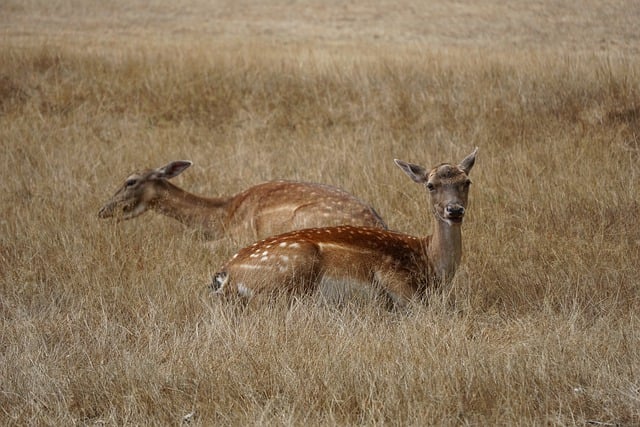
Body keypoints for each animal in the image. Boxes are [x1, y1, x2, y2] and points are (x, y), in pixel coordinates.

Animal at [208, 148, 478, 308]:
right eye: (430, 185)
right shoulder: (393, 276)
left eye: (467, 181)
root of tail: (225, 273)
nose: (454, 210)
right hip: (294, 265)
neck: (428, 261)